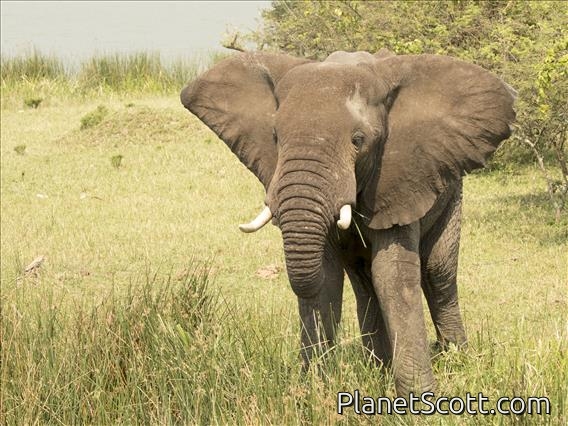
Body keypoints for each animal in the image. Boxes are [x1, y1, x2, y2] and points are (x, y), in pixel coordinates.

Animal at [180, 49, 515, 396]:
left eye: (358, 140)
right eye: (275, 137)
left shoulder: (400, 177)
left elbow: (392, 274)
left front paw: (419, 398)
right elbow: (328, 276)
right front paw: (313, 391)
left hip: (450, 190)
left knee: (437, 272)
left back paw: (454, 357)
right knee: (363, 279)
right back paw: (378, 366)